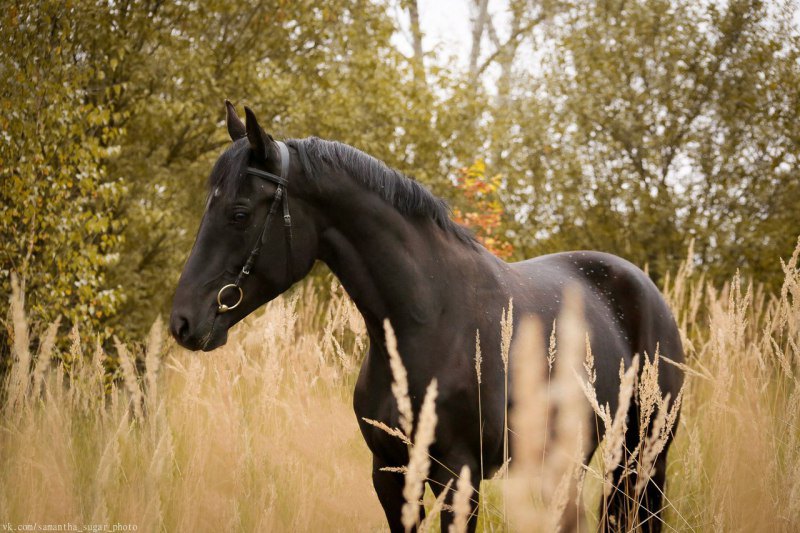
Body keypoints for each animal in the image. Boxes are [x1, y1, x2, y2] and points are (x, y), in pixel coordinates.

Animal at [172, 104, 684, 532]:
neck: (430, 323)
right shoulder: (391, 475)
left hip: (646, 456)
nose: (184, 321)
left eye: (240, 213)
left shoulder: (461, 477)